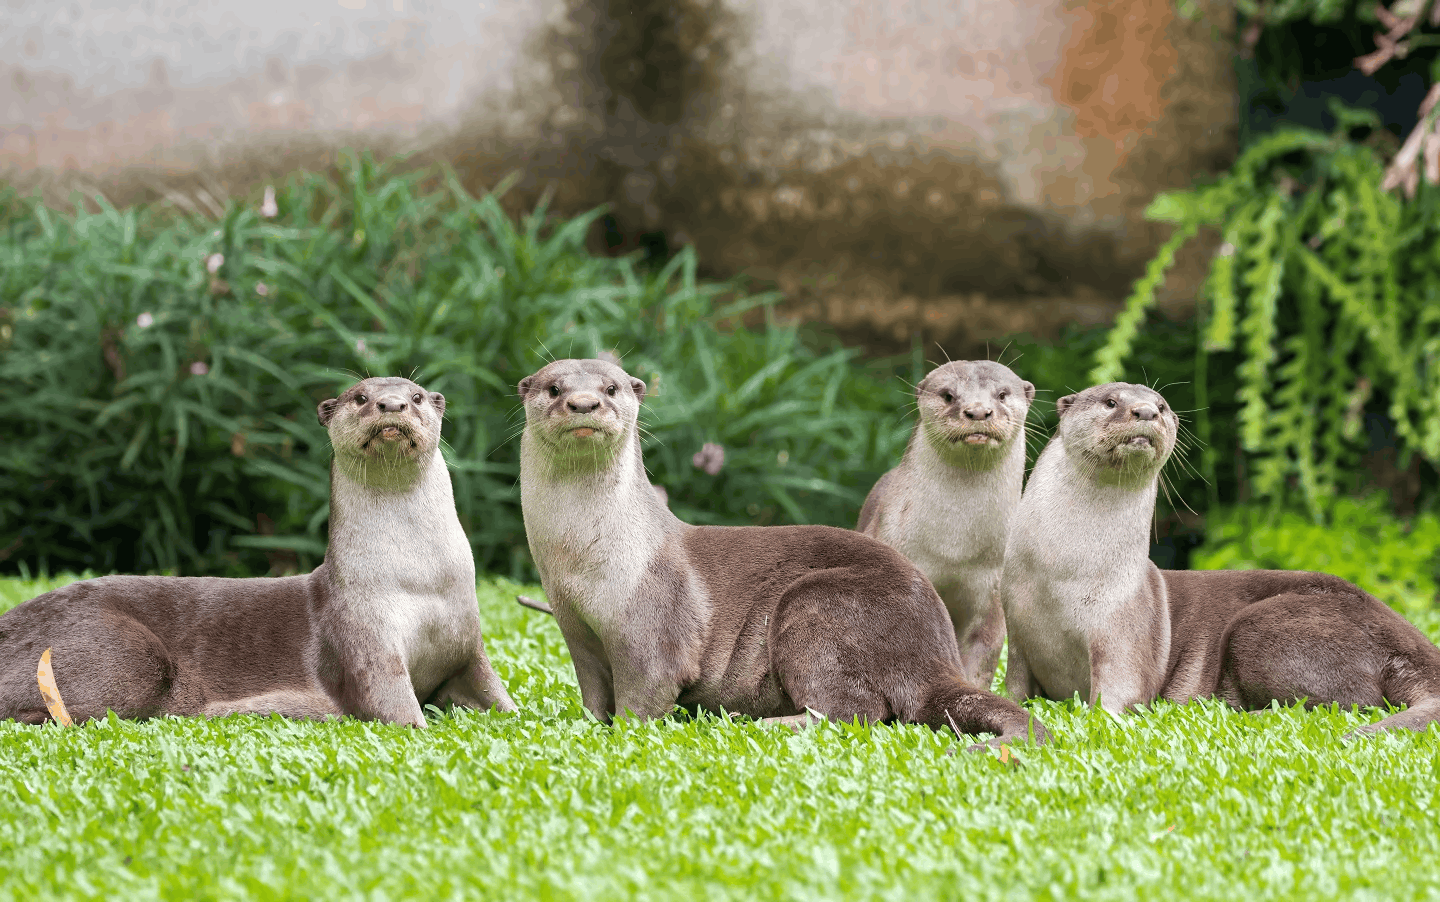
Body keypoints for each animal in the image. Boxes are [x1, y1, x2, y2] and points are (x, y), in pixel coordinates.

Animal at [0, 377, 516, 726]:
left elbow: (497, 694)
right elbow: (394, 705)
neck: (417, 581)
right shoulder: (366, 639)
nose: (391, 404)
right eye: (361, 397)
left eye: (416, 396)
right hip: (121, 649)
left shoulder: (468, 641)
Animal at [857, 360, 1034, 684]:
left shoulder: (991, 595)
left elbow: (981, 654)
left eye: (1002, 394)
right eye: (948, 395)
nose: (978, 411)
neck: (954, 547)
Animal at [1000, 381, 1440, 735]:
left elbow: (1118, 695)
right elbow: (1015, 687)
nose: (1145, 411)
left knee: (1357, 702)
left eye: (1161, 405)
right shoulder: (1018, 634)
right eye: (1111, 402)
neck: (1060, 579)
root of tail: (1414, 645)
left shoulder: (1124, 631)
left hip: (1264, 625)